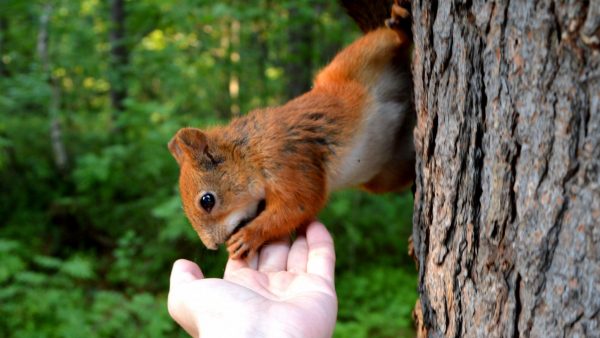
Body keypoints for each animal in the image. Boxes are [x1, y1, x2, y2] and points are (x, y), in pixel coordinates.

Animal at [168, 0, 412, 260]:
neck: (250, 152)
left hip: (357, 59)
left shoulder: (286, 158)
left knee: (389, 39)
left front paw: (248, 237)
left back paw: (399, 25)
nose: (212, 246)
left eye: (207, 201)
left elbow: (300, 203)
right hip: (386, 173)